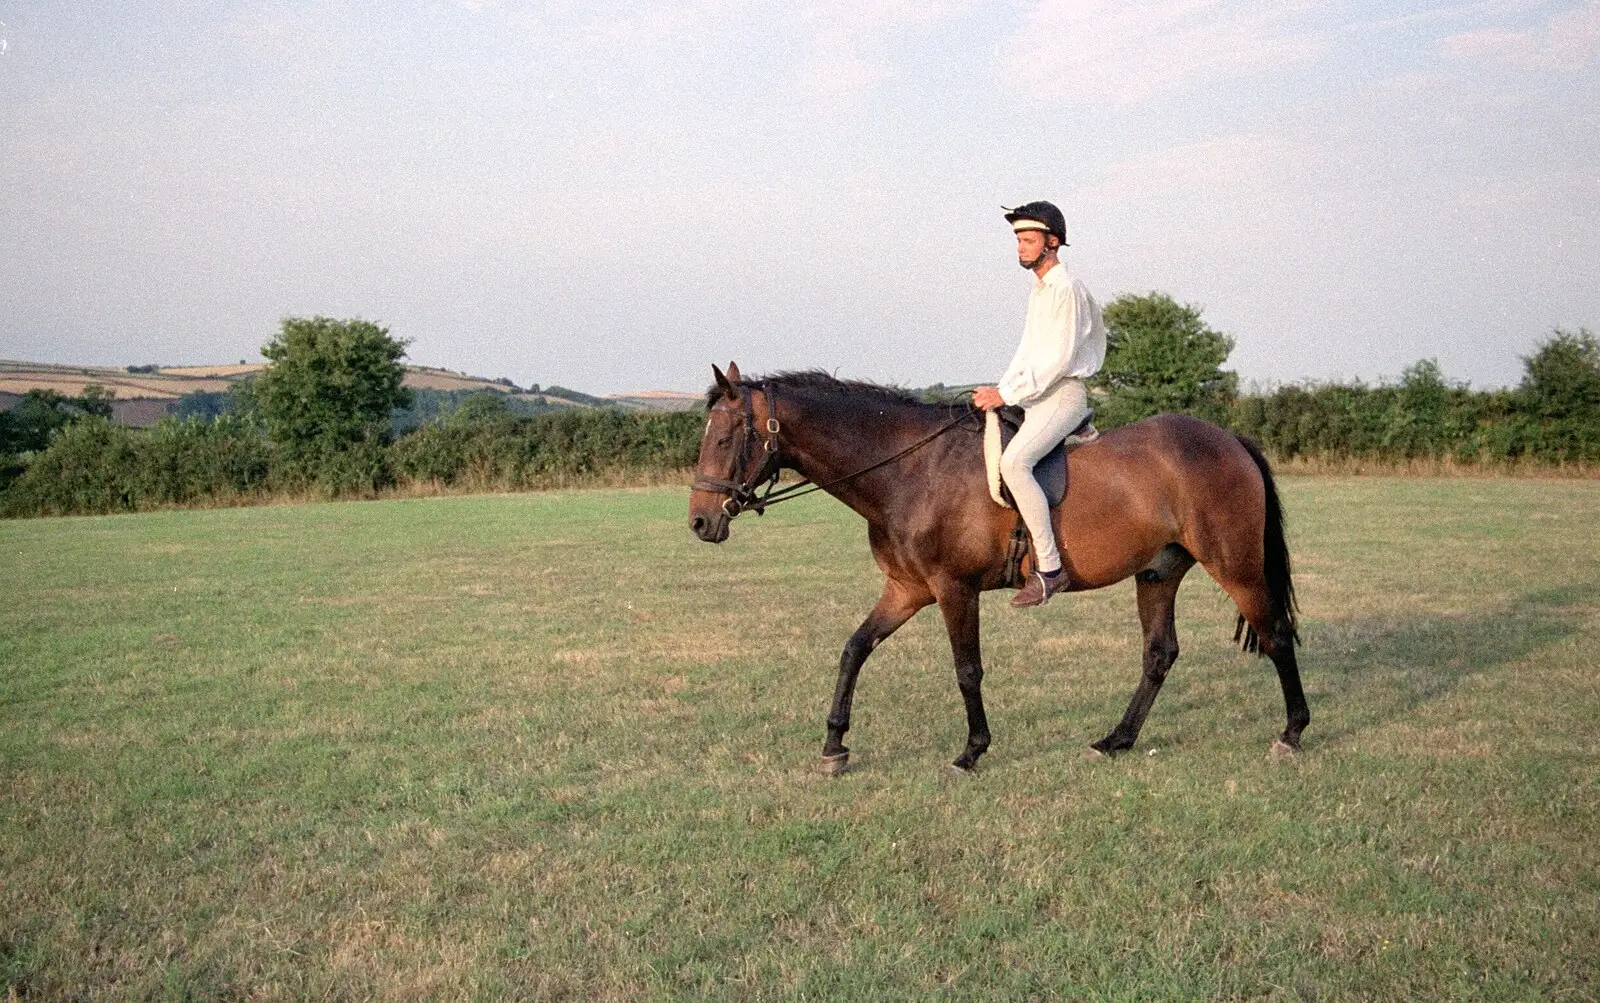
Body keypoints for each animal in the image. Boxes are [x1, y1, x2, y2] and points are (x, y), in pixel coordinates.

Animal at [681, 363, 1305, 777]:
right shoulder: (907, 590)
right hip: (1158, 572)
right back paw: (1116, 740)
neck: (910, 469)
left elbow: (967, 670)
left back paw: (1292, 733)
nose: (700, 522)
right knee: (1159, 654)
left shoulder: (953, 590)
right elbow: (854, 649)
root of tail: (1229, 439)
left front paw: (972, 750)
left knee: (1275, 634)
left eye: (726, 436)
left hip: (1235, 565)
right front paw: (835, 746)